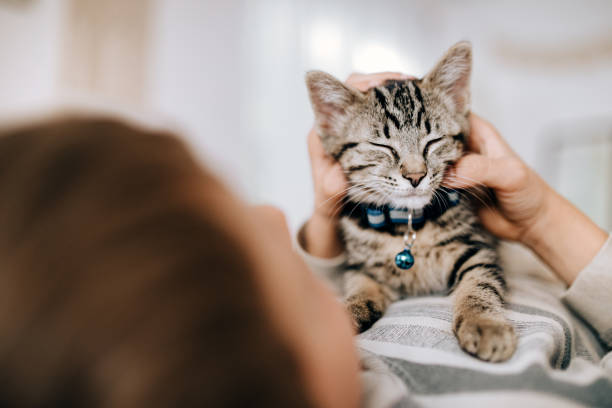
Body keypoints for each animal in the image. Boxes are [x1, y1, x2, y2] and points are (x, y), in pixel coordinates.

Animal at [306, 40, 516, 360]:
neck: (405, 224)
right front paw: (346, 312)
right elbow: (358, 287)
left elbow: (479, 283)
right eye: (382, 146)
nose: (416, 175)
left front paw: (485, 323)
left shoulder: (477, 247)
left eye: (433, 141)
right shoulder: (361, 267)